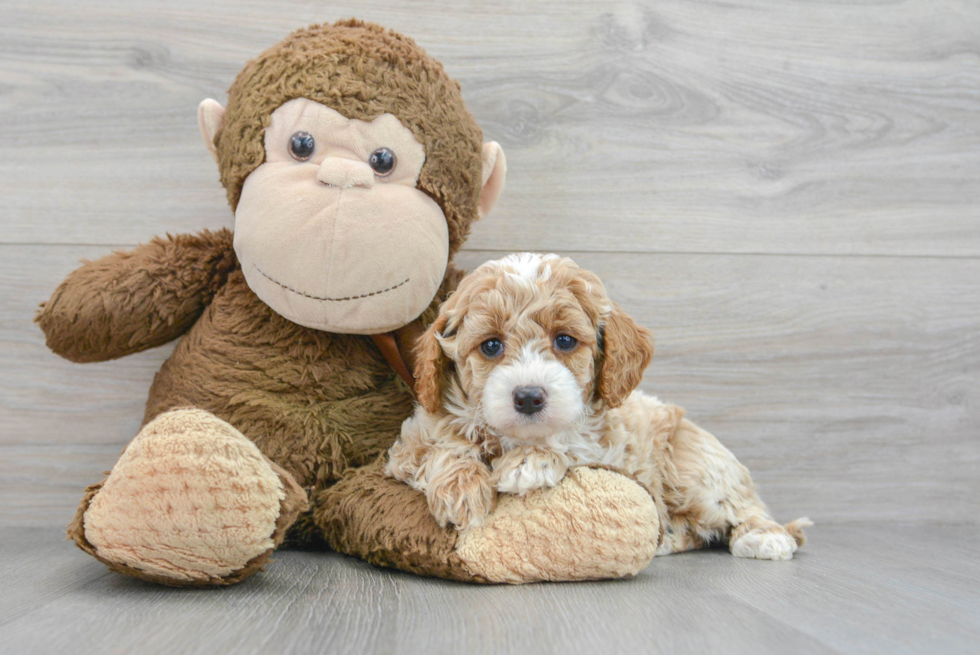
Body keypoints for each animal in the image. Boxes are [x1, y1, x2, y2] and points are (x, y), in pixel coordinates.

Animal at [384, 254, 812, 560]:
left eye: (565, 340)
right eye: (490, 345)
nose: (528, 397)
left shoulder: (608, 443)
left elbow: (570, 442)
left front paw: (529, 462)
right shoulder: (408, 446)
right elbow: (440, 448)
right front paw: (461, 488)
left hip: (695, 469)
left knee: (743, 507)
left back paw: (765, 538)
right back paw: (670, 536)